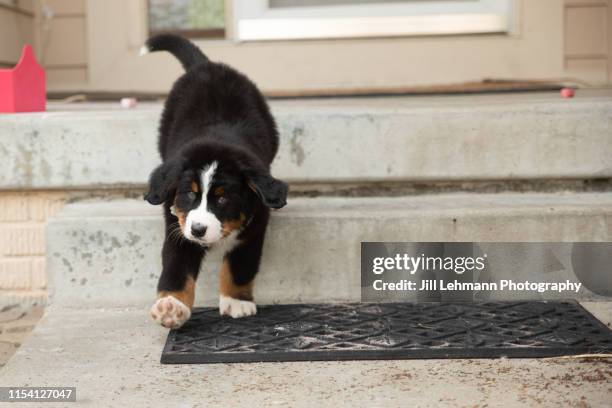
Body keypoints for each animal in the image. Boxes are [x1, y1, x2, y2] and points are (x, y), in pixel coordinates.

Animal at [142, 34, 288, 328]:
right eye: (189, 194)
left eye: (222, 198)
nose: (198, 230)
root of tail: (206, 65)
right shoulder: (178, 226)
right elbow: (176, 269)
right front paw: (171, 306)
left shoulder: (253, 230)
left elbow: (239, 267)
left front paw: (237, 302)